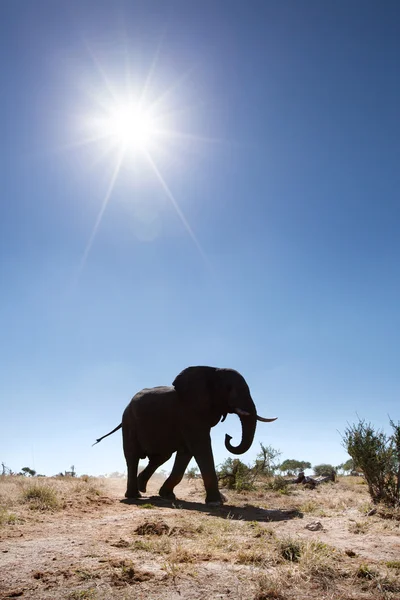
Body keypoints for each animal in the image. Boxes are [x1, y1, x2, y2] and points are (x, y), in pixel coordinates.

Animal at [94, 366, 276, 506]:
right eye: (229, 388)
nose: (229, 436)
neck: (213, 370)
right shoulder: (190, 414)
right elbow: (201, 447)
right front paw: (216, 502)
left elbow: (186, 452)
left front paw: (167, 495)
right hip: (129, 422)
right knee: (132, 457)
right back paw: (134, 495)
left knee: (160, 457)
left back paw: (142, 488)